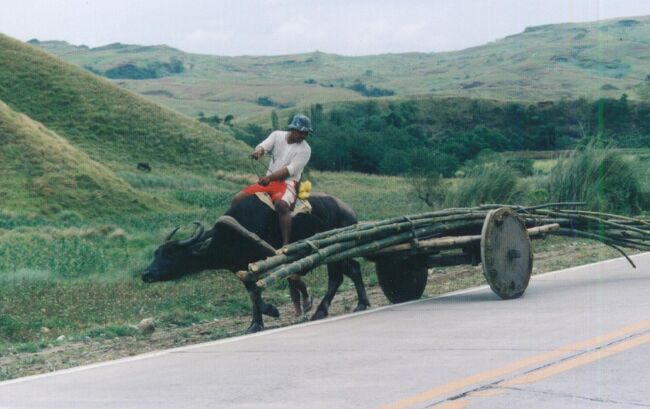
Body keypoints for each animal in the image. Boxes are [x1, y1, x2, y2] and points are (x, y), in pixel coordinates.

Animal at [142, 194, 370, 332]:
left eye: (171, 253)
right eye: (156, 253)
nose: (146, 274)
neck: (233, 236)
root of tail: (350, 211)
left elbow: (258, 292)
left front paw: (272, 311)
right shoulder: (243, 269)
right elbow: (253, 294)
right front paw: (255, 323)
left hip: (337, 252)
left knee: (343, 274)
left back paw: (339, 308)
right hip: (336, 254)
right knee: (347, 272)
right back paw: (347, 306)